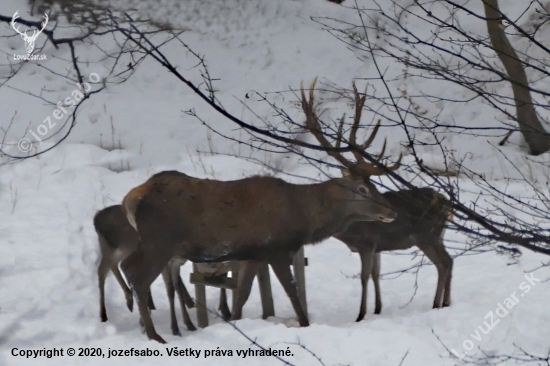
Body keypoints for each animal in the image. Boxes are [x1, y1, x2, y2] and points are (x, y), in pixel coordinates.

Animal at [121, 137, 398, 340]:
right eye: (362, 189)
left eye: (374, 185)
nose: (391, 212)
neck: (302, 216)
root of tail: (132, 199)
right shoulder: (276, 248)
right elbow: (293, 293)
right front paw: (305, 325)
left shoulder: (253, 254)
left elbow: (242, 296)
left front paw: (234, 323)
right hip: (160, 242)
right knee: (137, 275)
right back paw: (155, 336)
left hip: (158, 245)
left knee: (130, 268)